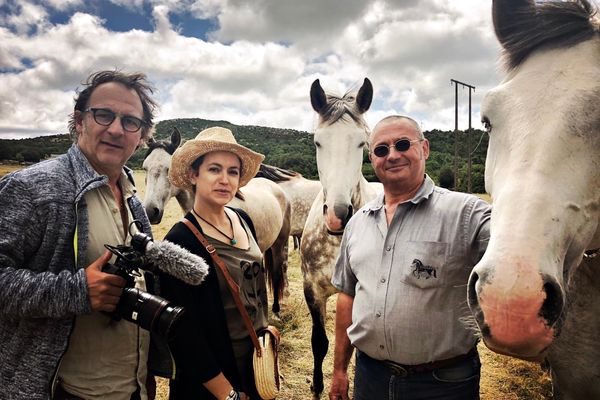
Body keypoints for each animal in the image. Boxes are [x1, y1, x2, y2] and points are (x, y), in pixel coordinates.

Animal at [302, 78, 382, 396]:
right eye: (318, 142)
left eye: (361, 142)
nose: (337, 215)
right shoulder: (312, 290)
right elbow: (319, 343)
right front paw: (317, 386)